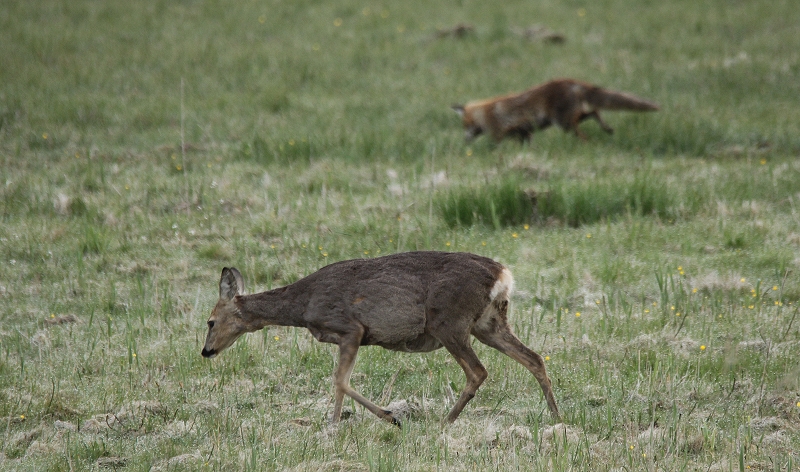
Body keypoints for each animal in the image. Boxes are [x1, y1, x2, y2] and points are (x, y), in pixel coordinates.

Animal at [202, 253, 556, 426]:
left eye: (210, 321)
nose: (206, 351)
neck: (304, 306)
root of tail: (503, 275)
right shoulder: (349, 334)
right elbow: (341, 381)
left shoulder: (349, 328)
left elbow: (340, 381)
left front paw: (363, 420)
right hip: (488, 323)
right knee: (534, 358)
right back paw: (556, 416)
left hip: (449, 322)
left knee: (478, 371)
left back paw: (445, 421)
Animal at [454, 78, 660, 142]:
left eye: (465, 126)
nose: (465, 141)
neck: (484, 114)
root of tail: (569, 82)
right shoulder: (524, 134)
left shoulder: (497, 134)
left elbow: (492, 147)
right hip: (570, 118)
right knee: (594, 112)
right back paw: (607, 129)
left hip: (564, 123)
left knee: (584, 131)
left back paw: (589, 141)